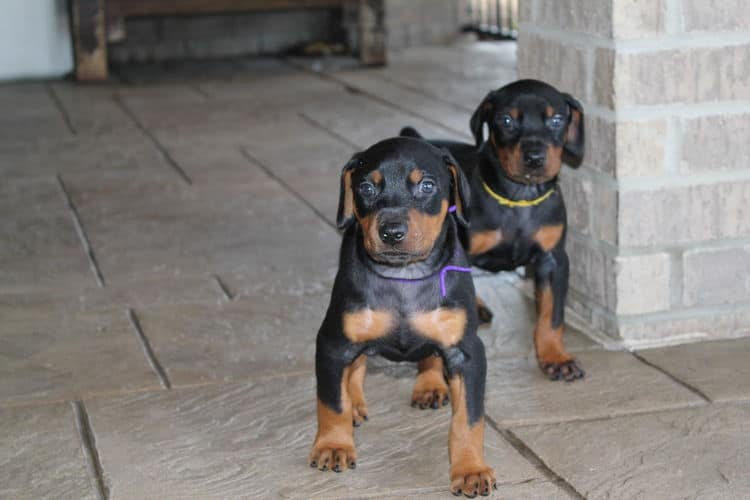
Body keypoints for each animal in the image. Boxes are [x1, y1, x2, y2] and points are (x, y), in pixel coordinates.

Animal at [312, 136, 500, 496]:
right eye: (366, 188)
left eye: (427, 186)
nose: (392, 231)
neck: (404, 276)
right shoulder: (332, 342)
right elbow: (331, 402)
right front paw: (334, 445)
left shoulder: (466, 351)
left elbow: (468, 419)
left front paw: (470, 469)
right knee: (357, 364)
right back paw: (355, 402)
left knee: (429, 355)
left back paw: (430, 385)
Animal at [402, 80, 592, 380]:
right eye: (506, 120)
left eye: (556, 120)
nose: (535, 158)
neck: (519, 198)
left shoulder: (553, 259)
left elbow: (552, 316)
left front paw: (555, 357)